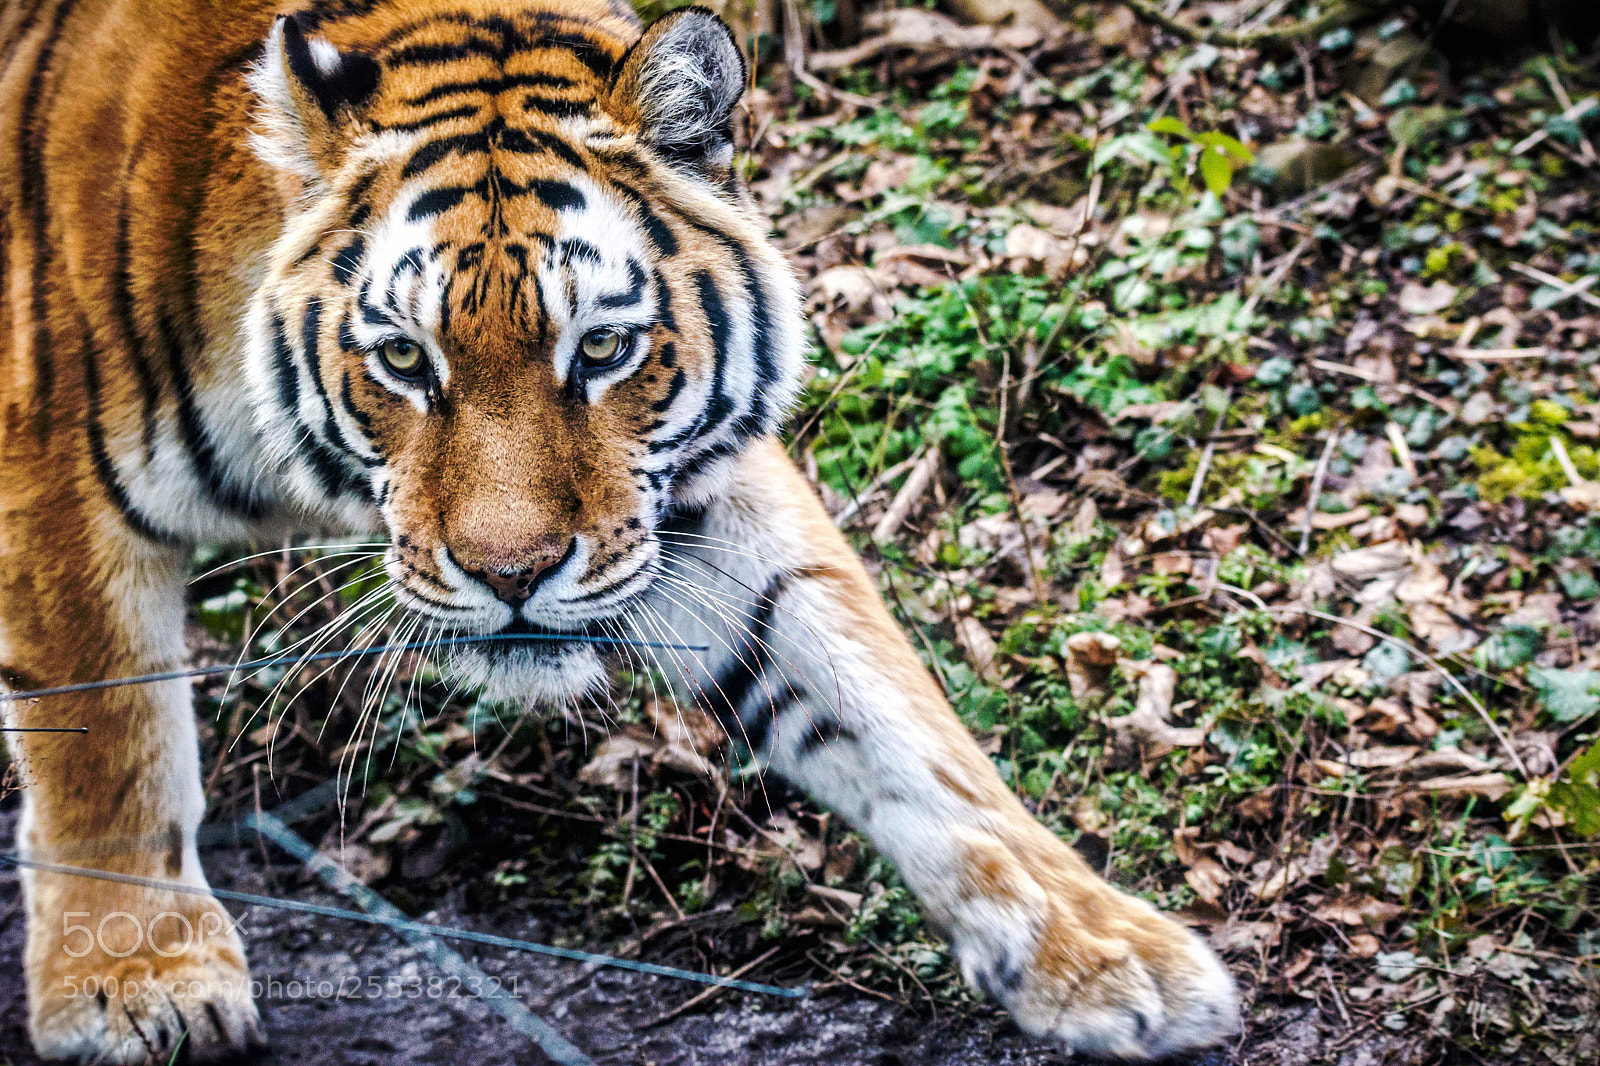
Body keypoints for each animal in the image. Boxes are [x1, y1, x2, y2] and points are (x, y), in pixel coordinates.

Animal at [0, 0, 1239, 1061]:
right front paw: (135, 986)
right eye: (403, 357)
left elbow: (886, 705)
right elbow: (109, 744)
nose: (511, 573)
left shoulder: (686, 497)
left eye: (600, 348)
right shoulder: (50, 476)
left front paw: (1101, 950)